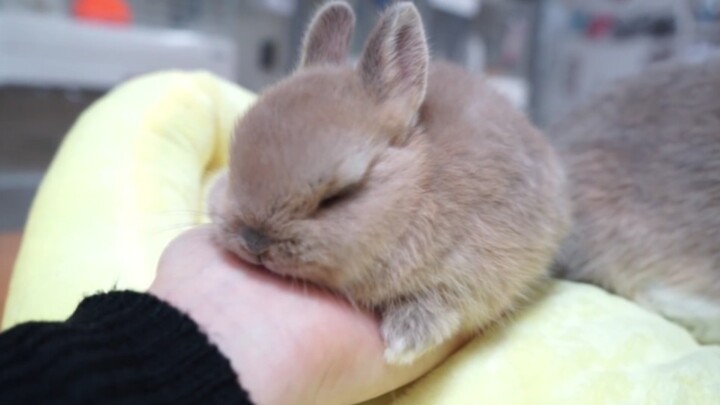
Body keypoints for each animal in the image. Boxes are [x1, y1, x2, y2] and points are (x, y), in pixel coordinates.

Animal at [211, 1, 570, 364]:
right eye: (233, 164)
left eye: (339, 195)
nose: (254, 241)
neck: (417, 187)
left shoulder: (477, 265)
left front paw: (403, 344)